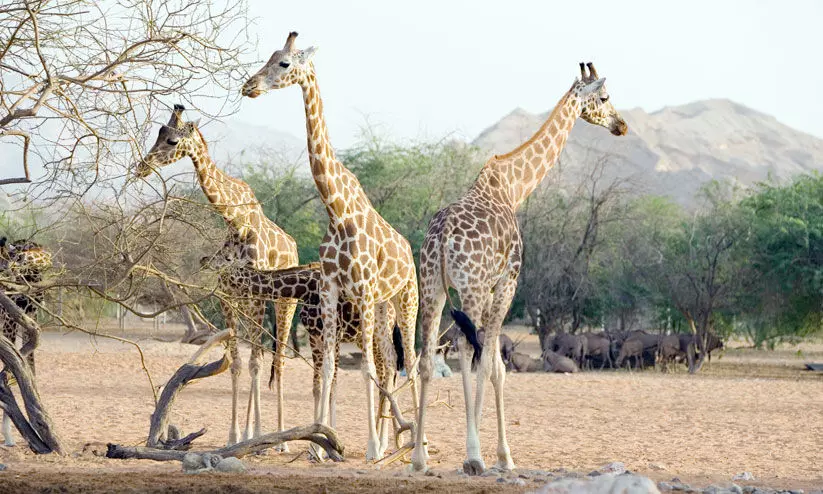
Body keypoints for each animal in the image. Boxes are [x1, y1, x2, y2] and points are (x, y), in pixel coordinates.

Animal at [134, 109, 300, 448]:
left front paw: (258, 435)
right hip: (251, 305)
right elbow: (236, 363)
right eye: (158, 134)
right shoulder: (227, 296)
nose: (142, 166)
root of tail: (295, 248)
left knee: (278, 359)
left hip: (284, 303)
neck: (235, 223)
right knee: (257, 356)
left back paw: (282, 438)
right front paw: (235, 435)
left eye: (171, 140)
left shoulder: (257, 294)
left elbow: (256, 362)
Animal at [206, 241, 406, 458]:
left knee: (386, 373)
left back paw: (381, 444)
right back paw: (387, 441)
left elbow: (333, 384)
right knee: (387, 371)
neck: (305, 289)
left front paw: (324, 445)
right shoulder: (315, 336)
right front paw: (317, 444)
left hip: (375, 335)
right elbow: (317, 386)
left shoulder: (333, 333)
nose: (206, 262)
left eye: (227, 258)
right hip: (364, 339)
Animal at [238, 32, 418, 462]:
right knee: (391, 360)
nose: (249, 86)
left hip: (405, 298)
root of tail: (409, 251)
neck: (336, 210)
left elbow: (364, 369)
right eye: (269, 57)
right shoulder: (335, 291)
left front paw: (370, 448)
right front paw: (320, 444)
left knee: (411, 362)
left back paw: (414, 442)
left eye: (285, 63)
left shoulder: (364, 290)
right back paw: (394, 438)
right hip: (383, 307)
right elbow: (333, 371)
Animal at [408, 63, 628, 472]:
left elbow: (493, 362)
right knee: (467, 348)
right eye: (605, 97)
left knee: (426, 357)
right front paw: (501, 455)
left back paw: (418, 457)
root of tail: (442, 237)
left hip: (431, 287)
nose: (621, 125)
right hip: (472, 288)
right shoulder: (507, 283)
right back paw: (472, 456)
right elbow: (494, 365)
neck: (513, 186)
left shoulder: (486, 288)